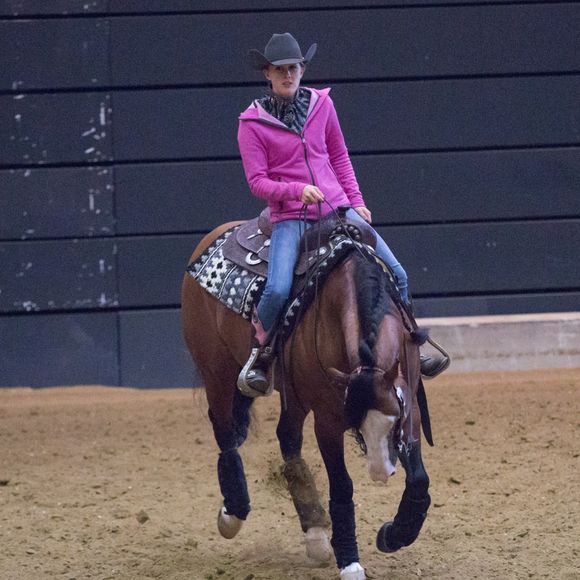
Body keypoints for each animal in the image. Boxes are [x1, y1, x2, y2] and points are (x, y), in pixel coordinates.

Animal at [181, 219, 430, 580]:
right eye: (356, 422)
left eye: (393, 418)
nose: (380, 472)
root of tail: (212, 237)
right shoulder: (326, 419)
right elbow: (342, 486)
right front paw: (350, 562)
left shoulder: (408, 400)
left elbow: (419, 478)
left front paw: (394, 534)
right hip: (217, 373)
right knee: (226, 437)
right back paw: (233, 513)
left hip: (293, 395)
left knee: (287, 438)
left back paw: (314, 535)